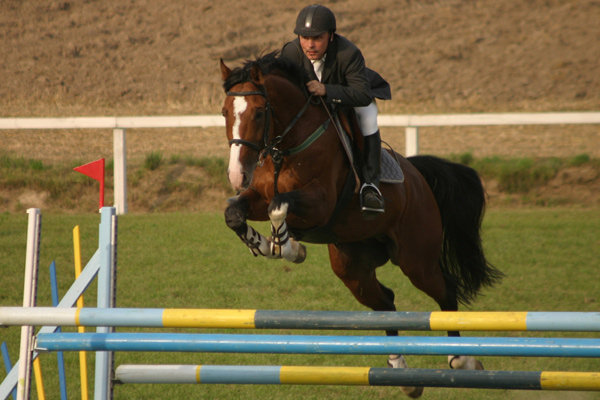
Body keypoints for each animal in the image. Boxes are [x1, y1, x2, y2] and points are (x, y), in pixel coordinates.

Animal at [220, 52, 502, 396]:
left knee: (444, 290)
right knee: (386, 303)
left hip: (416, 259)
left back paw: (464, 361)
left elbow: (279, 206)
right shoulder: (257, 197)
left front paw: (287, 247)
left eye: (260, 112)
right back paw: (401, 371)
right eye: (224, 112)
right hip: (352, 266)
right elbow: (234, 212)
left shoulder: (320, 203)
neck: (286, 148)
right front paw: (267, 245)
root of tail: (418, 177)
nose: (236, 175)